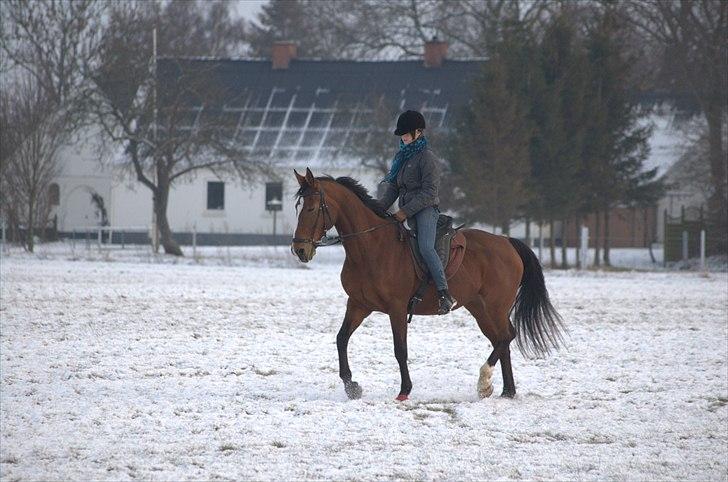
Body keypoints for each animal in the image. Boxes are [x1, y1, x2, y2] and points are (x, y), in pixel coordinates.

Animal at [290, 168, 564, 402]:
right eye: (299, 208)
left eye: (312, 208)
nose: (300, 249)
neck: (372, 248)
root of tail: (507, 242)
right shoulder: (358, 304)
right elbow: (341, 339)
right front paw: (351, 386)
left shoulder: (397, 308)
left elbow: (400, 349)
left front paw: (404, 390)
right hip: (481, 309)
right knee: (502, 340)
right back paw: (506, 391)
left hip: (495, 307)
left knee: (507, 337)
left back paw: (484, 380)